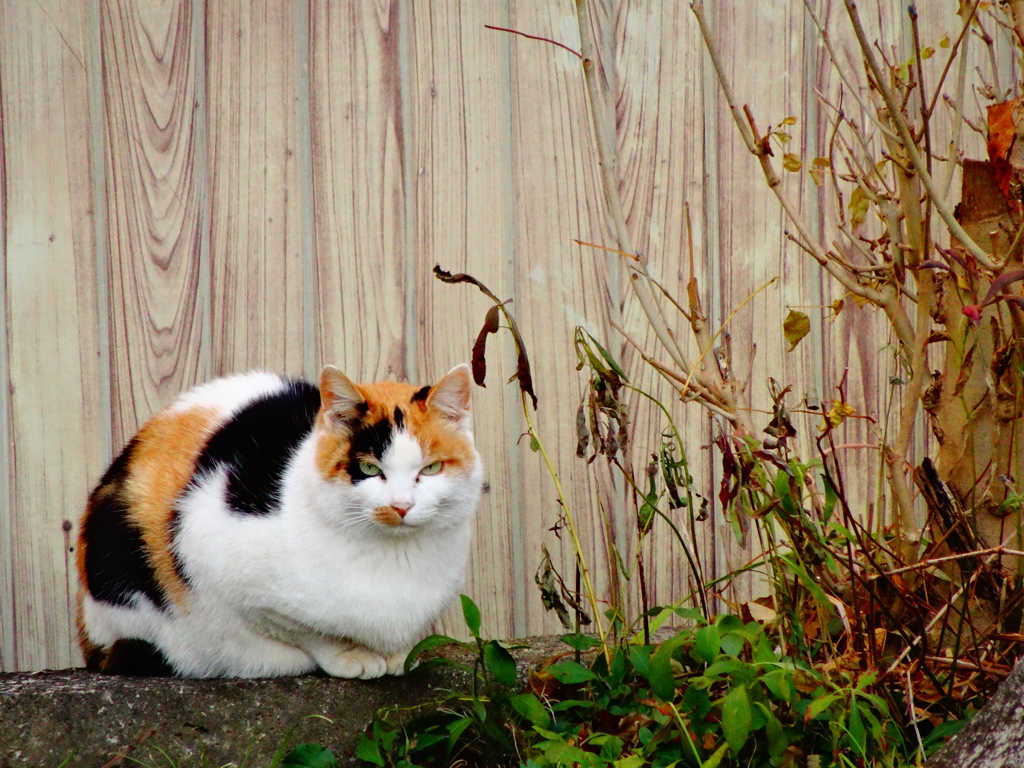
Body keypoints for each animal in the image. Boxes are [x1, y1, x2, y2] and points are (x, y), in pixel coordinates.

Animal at [75, 364, 483, 675]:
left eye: (430, 469)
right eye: (368, 468)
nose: (401, 506)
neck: (395, 559)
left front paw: (400, 655)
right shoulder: (218, 559)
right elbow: (309, 631)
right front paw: (352, 655)